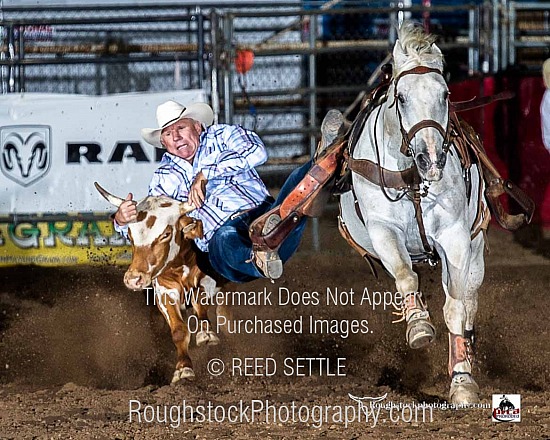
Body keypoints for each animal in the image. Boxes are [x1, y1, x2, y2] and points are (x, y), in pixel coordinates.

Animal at [340, 22, 492, 404]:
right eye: (402, 97)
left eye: (446, 95)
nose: (431, 158)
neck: (412, 178)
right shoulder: (383, 231)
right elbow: (405, 277)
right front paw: (419, 326)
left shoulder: (455, 237)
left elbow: (456, 308)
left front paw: (462, 381)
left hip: (476, 249)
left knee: (470, 299)